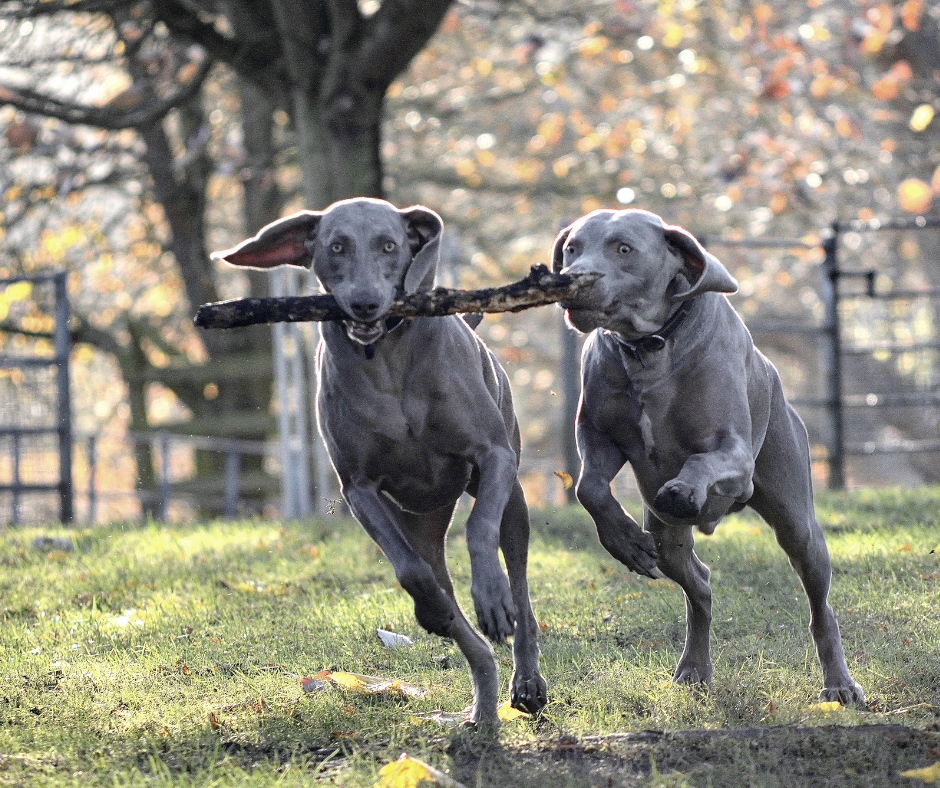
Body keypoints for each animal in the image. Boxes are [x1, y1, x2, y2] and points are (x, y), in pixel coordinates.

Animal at [213, 197, 548, 728]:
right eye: (336, 247)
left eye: (390, 245)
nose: (366, 303)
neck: (386, 358)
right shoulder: (359, 488)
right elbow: (410, 572)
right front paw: (434, 609)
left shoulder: (492, 455)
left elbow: (480, 529)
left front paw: (491, 596)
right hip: (422, 525)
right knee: (446, 598)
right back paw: (481, 700)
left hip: (512, 494)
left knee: (520, 584)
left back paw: (526, 678)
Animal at [552, 208, 868, 700]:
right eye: (572, 248)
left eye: (623, 248)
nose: (571, 280)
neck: (650, 348)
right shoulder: (598, 436)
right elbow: (589, 488)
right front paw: (623, 540)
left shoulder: (734, 452)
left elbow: (702, 460)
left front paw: (683, 488)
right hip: (668, 543)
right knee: (698, 583)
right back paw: (693, 667)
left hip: (798, 521)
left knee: (820, 607)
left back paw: (839, 683)